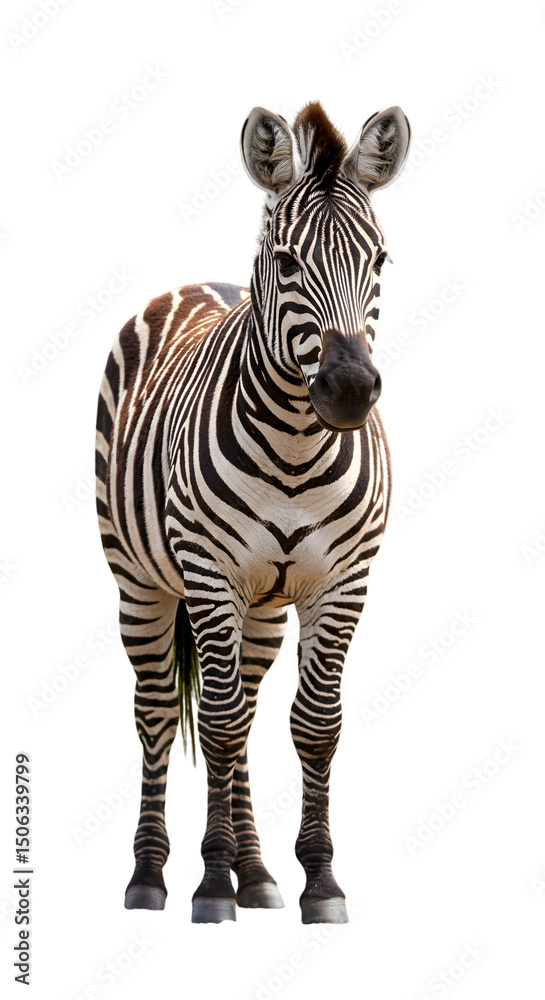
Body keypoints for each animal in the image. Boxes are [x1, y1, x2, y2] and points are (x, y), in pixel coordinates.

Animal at [95, 100, 410, 924]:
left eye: (380, 261)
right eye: (288, 262)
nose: (349, 392)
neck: (298, 447)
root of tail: (194, 284)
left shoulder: (343, 583)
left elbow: (314, 723)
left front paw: (317, 882)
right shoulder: (209, 575)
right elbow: (217, 721)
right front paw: (210, 885)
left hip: (262, 607)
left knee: (244, 710)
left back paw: (259, 872)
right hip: (141, 583)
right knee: (159, 710)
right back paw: (149, 876)